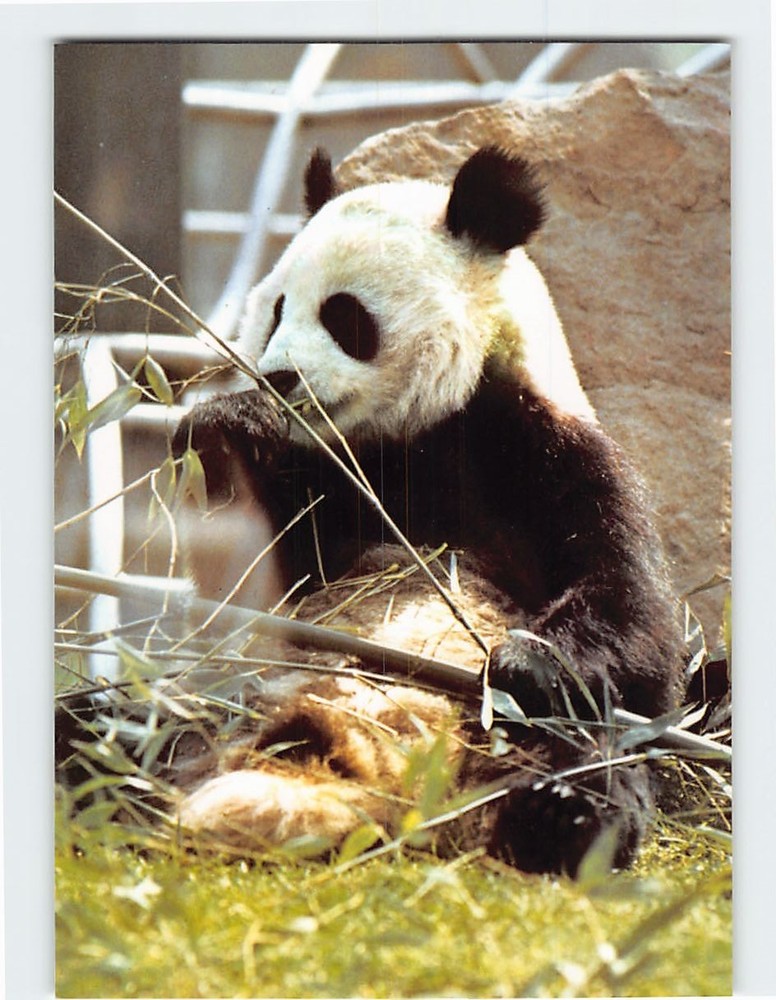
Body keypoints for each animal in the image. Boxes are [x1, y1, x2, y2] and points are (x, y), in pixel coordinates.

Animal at [171, 146, 683, 875]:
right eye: (275, 310)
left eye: (343, 316)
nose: (278, 377)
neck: (415, 431)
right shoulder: (329, 482)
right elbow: (239, 596)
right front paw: (223, 429)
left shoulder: (541, 450)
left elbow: (632, 610)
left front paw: (524, 665)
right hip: (206, 703)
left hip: (502, 741)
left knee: (582, 756)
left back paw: (557, 814)